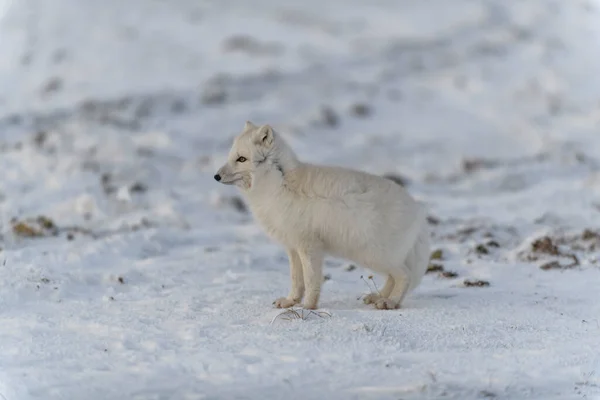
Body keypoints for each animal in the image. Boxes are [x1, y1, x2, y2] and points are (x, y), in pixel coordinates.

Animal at [216, 121, 432, 310]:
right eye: (231, 156)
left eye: (241, 159)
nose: (216, 176)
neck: (278, 184)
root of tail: (418, 210)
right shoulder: (293, 246)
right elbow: (296, 280)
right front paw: (290, 301)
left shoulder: (309, 246)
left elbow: (311, 280)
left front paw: (308, 307)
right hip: (373, 257)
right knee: (392, 278)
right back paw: (377, 297)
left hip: (375, 255)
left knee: (404, 276)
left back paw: (390, 302)